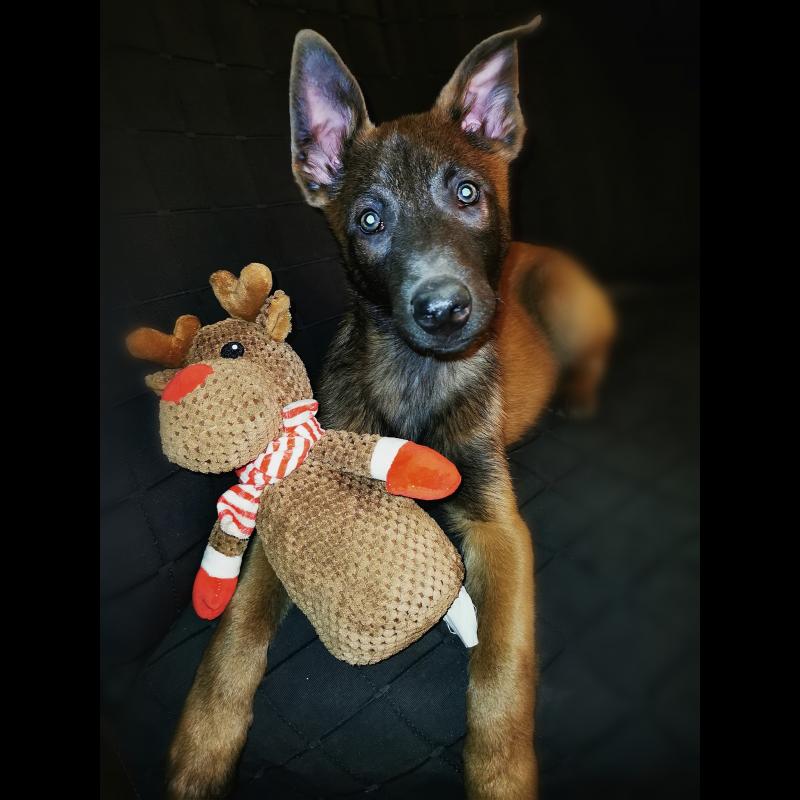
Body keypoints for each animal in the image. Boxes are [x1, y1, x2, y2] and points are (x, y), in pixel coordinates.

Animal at [166, 16, 616, 800]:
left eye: (467, 192)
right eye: (370, 219)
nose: (443, 309)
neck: (416, 375)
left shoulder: (498, 527)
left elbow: (501, 665)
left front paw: (502, 775)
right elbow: (234, 635)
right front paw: (201, 748)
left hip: (561, 296)